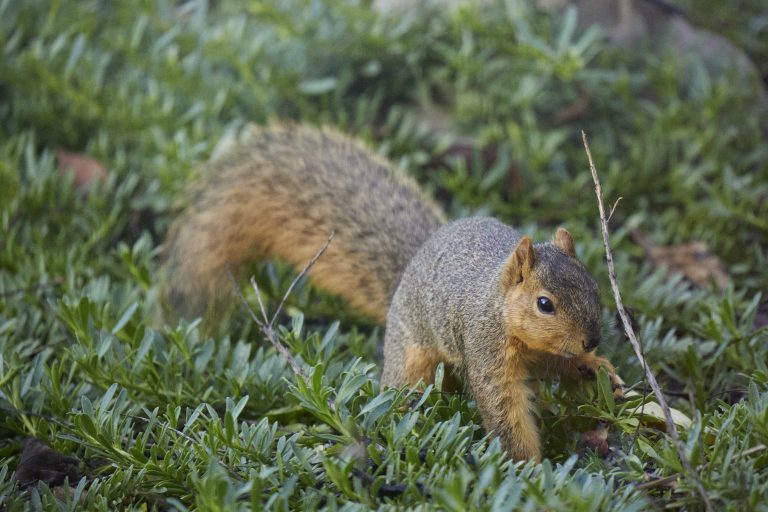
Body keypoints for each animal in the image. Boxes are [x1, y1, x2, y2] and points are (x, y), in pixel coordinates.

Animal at [161, 123, 624, 461]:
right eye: (544, 304)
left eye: (593, 285)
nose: (592, 339)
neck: (499, 303)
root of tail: (409, 271)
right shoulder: (484, 347)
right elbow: (502, 407)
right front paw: (528, 468)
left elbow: (558, 365)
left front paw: (597, 368)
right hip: (411, 358)